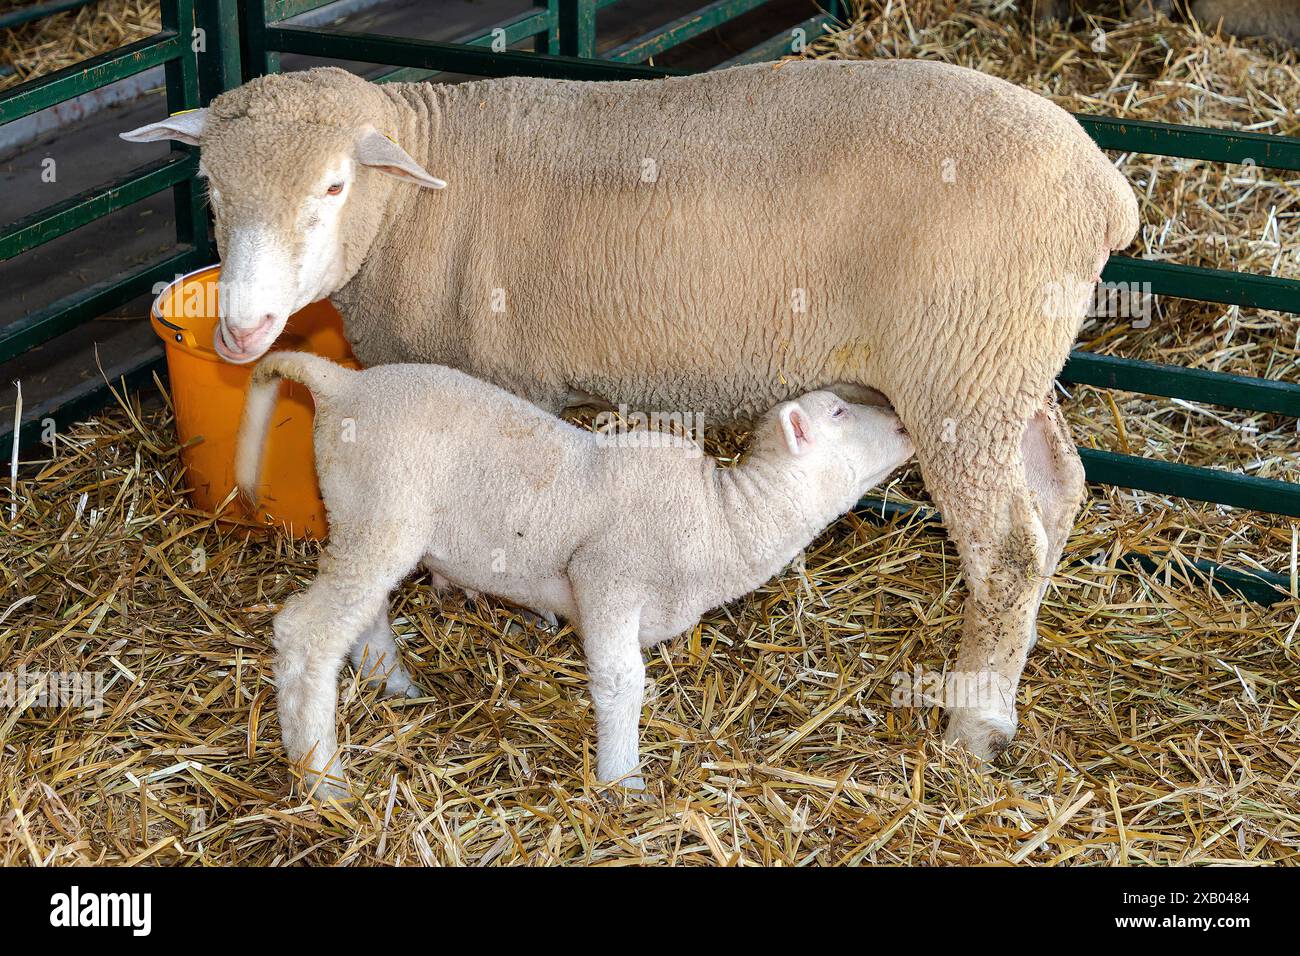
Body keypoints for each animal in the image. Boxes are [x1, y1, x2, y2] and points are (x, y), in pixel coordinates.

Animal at [236, 352, 915, 798]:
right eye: (838, 411)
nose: (905, 422)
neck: (721, 518)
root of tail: (344, 382)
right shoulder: (606, 577)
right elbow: (622, 684)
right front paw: (623, 779)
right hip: (382, 513)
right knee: (306, 632)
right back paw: (324, 779)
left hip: (365, 516)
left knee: (364, 608)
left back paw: (392, 681)